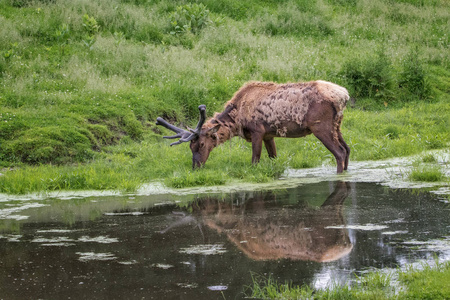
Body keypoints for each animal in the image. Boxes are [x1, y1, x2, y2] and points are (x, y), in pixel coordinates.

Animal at [156, 81, 350, 172]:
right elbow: (273, 158)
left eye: (202, 144)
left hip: (321, 127)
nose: (196, 166)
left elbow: (254, 160)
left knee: (339, 152)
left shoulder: (258, 131)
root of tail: (344, 96)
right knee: (347, 149)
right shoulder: (269, 135)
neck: (237, 120)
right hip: (337, 125)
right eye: (191, 146)